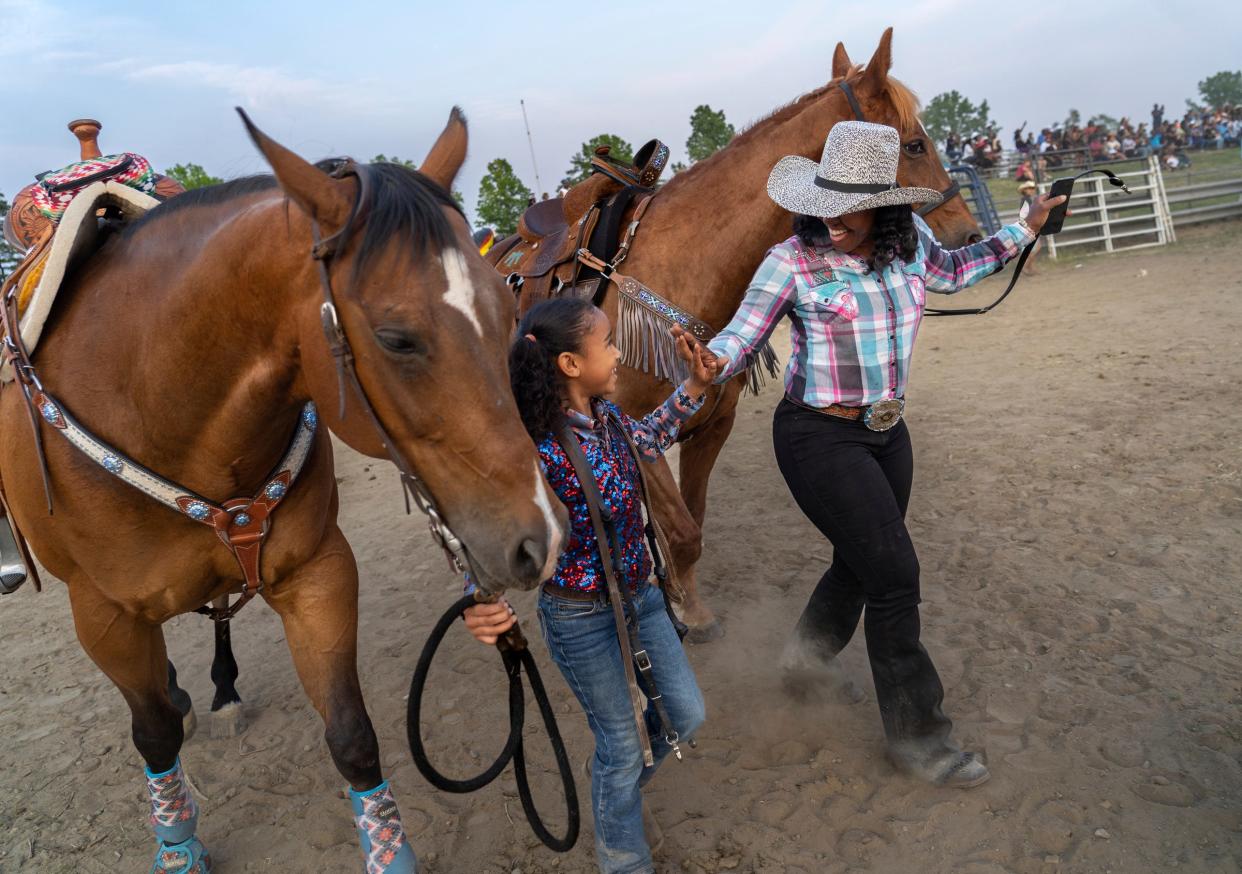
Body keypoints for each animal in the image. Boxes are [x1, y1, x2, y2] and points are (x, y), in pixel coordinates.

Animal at [0, 112, 563, 869]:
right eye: (395, 337)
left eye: (507, 307)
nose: (542, 537)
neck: (148, 394)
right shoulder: (103, 613)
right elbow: (153, 734)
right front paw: (178, 845)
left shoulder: (315, 571)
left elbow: (351, 734)